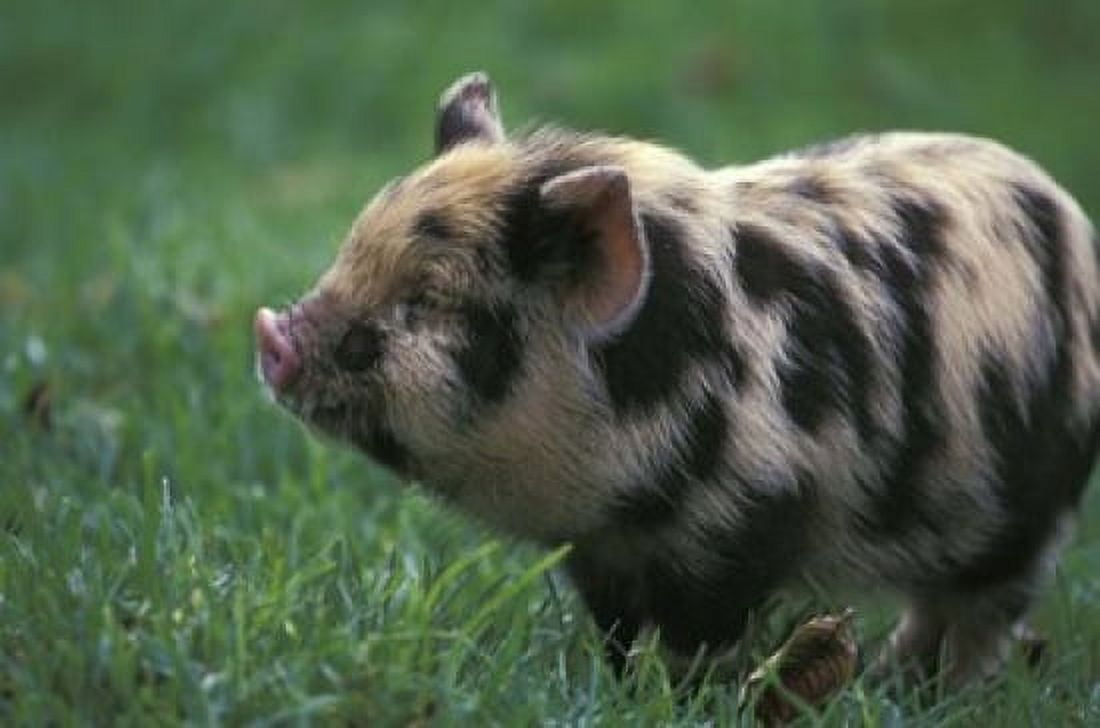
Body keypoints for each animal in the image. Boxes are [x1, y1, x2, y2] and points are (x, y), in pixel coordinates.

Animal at [255, 72, 1100, 686]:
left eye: (424, 301)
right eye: (349, 253)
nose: (271, 334)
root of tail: (1070, 215)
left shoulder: (751, 516)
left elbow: (705, 633)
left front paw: (687, 694)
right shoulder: (602, 550)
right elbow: (616, 631)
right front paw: (616, 686)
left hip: (1034, 507)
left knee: (981, 615)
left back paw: (919, 686)